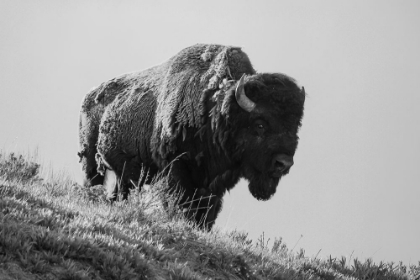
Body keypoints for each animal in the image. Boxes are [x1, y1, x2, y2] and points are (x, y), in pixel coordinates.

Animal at [78, 43, 306, 228]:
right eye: (260, 124)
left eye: (296, 128)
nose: (284, 163)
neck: (215, 109)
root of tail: (89, 96)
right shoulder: (176, 168)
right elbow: (179, 201)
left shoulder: (214, 184)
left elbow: (207, 213)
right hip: (91, 163)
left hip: (120, 174)